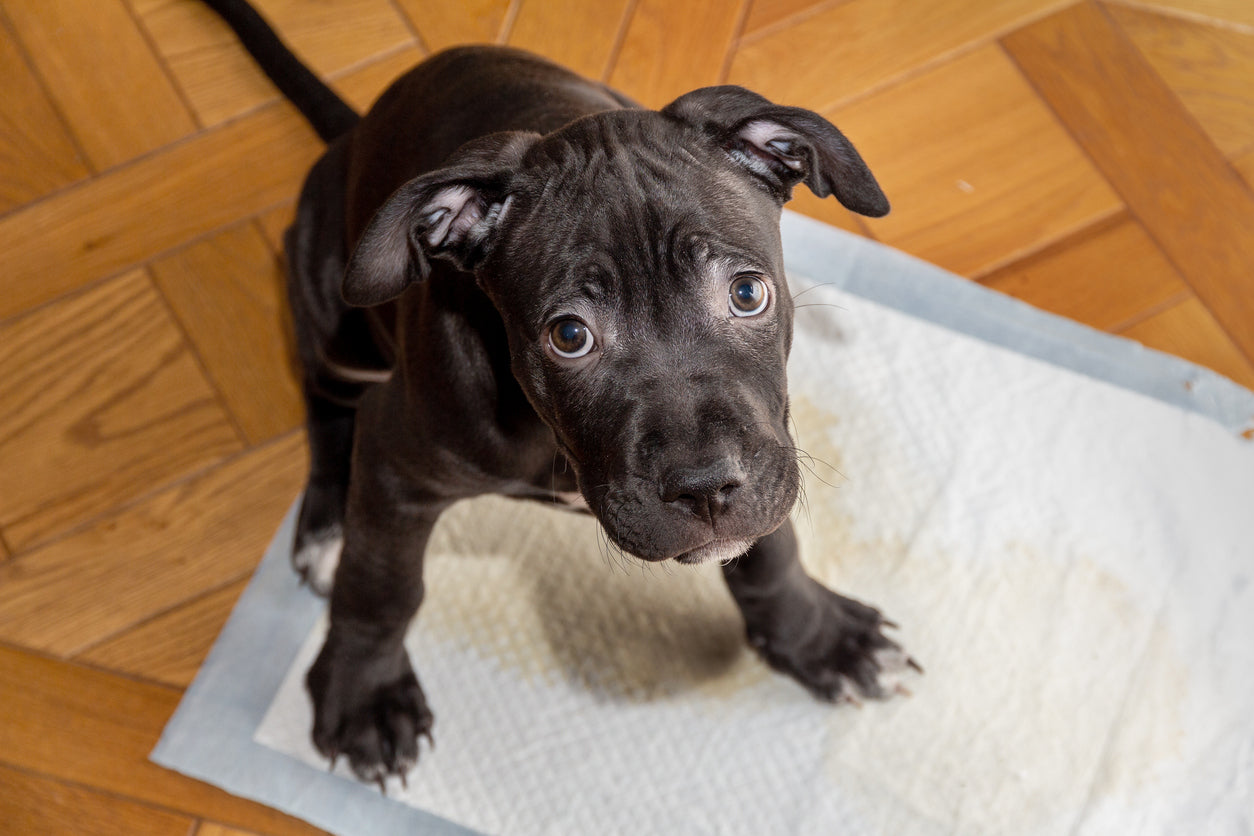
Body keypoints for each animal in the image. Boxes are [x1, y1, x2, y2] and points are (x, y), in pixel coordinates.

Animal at [200, 0, 917, 787]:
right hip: (336, 325)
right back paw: (327, 530)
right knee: (326, 405)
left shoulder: (768, 444)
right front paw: (365, 697)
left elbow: (772, 544)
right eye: (569, 336)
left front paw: (819, 639)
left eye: (748, 293)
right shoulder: (392, 457)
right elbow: (382, 586)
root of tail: (353, 133)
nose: (704, 489)